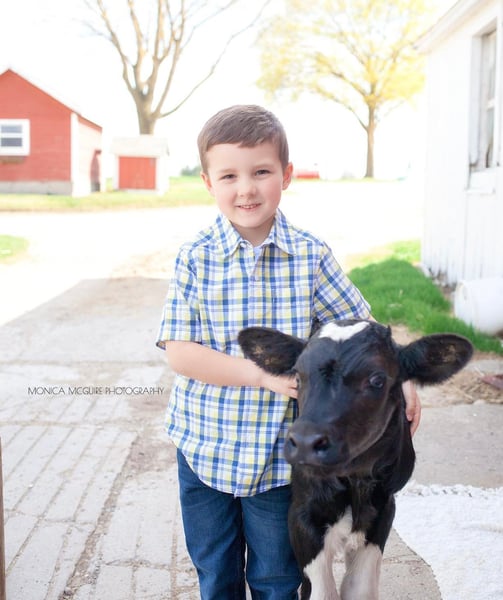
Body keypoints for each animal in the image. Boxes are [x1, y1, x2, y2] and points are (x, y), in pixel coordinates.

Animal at [239, 322, 472, 600]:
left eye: (377, 380)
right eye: (297, 377)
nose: (305, 442)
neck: (354, 480)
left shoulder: (384, 509)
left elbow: (359, 587)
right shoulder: (301, 513)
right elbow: (322, 592)